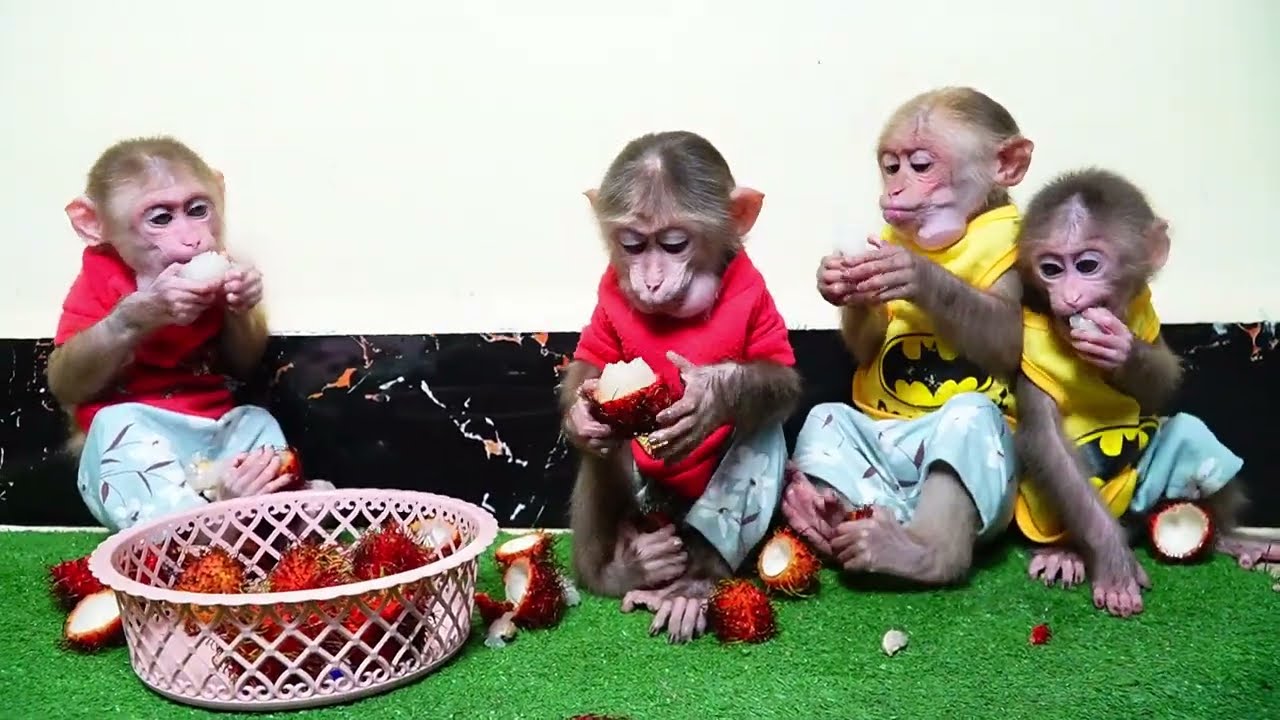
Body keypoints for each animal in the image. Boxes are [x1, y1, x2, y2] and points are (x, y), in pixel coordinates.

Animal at [46, 136, 327, 534]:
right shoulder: (91, 281)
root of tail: (199, 471)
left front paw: (244, 290)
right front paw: (148, 305)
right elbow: (66, 377)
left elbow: (239, 360)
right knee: (124, 440)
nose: (193, 239)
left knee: (253, 418)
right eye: (162, 219)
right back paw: (223, 510)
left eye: (196, 211)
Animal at [560, 130, 802, 643]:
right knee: (605, 451)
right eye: (633, 246)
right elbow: (590, 361)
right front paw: (579, 418)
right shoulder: (607, 291)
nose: (651, 280)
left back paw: (693, 585)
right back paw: (620, 569)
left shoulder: (756, 289)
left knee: (758, 430)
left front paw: (711, 397)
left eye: (675, 245)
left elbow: (779, 379)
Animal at [782, 87, 1034, 586]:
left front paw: (915, 272)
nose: (895, 189)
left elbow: (1008, 339)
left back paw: (921, 552)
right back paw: (819, 514)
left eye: (921, 165)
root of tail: (902, 504)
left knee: (971, 420)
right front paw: (837, 280)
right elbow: (868, 344)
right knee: (826, 421)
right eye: (891, 165)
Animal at [1010, 167, 1279, 617]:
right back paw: (1066, 551)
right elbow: (1047, 440)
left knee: (1190, 433)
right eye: (1050, 269)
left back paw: (1232, 538)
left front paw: (1123, 352)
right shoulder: (1030, 345)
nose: (1069, 296)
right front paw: (1113, 562)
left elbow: (1161, 383)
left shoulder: (1145, 311)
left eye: (1087, 265)